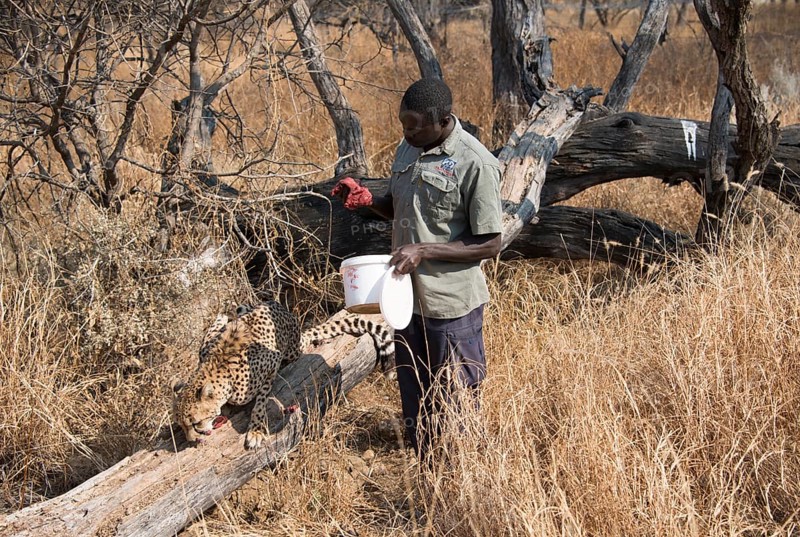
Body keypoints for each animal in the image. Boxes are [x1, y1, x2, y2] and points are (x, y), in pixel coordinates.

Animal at [172, 301, 394, 449]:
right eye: (181, 426)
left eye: (195, 423)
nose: (192, 440)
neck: (217, 370)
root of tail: (280, 306)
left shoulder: (271, 362)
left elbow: (260, 402)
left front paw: (256, 430)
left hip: (293, 348)